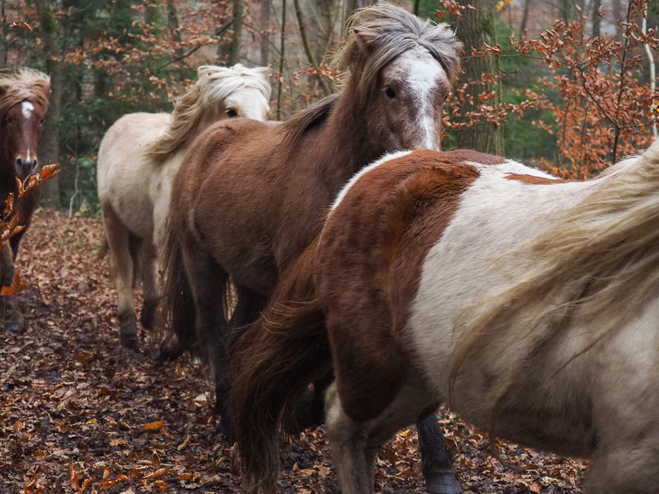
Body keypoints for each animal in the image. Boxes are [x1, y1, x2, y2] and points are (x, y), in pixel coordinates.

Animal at [96, 64, 270, 352]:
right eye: (231, 111)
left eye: (266, 111)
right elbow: (181, 288)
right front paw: (175, 342)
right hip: (113, 221)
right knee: (124, 266)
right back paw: (129, 331)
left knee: (147, 260)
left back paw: (149, 317)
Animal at [164, 4, 464, 494]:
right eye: (390, 89)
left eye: (442, 93)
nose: (425, 162)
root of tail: (212, 135)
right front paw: (290, 416)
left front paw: (440, 468)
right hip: (202, 263)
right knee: (212, 332)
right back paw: (228, 416)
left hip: (252, 282)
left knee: (236, 334)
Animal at [228, 140, 659, 494]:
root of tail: (368, 176)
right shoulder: (626, 461)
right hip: (375, 369)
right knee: (342, 423)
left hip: (419, 378)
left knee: (365, 437)